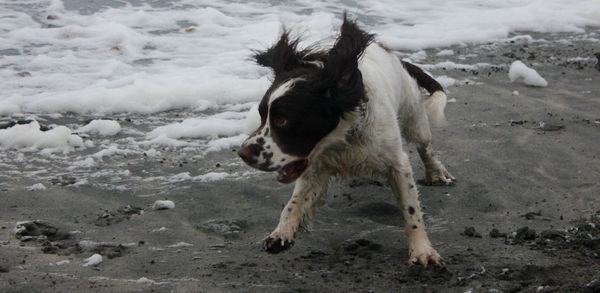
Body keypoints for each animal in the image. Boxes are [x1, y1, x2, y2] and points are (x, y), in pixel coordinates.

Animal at [237, 14, 452, 264]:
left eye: (282, 121)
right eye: (262, 116)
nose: (242, 153)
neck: (342, 139)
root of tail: (394, 56)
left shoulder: (397, 164)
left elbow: (411, 211)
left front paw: (422, 251)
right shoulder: (316, 168)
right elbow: (293, 204)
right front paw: (281, 233)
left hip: (413, 115)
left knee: (425, 146)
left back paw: (435, 172)